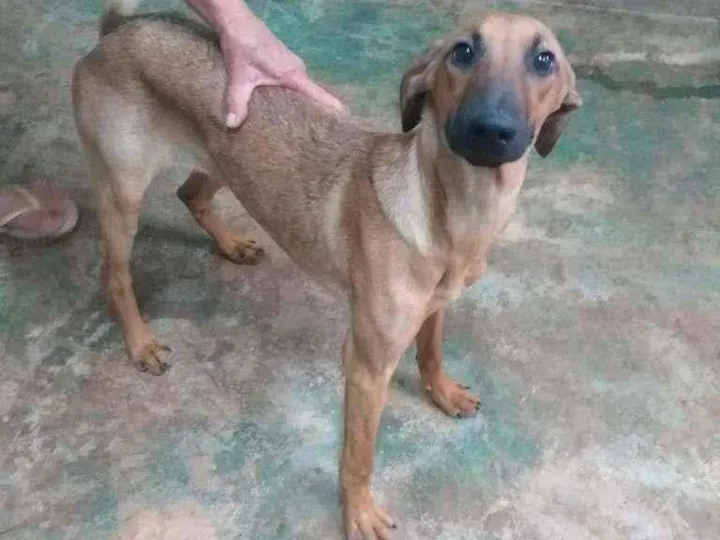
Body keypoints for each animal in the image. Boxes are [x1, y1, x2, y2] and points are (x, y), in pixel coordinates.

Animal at [72, 1, 581, 538]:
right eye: (463, 52)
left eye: (544, 60)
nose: (490, 127)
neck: (451, 213)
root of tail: (121, 28)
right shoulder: (366, 366)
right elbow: (358, 455)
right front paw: (358, 514)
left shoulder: (435, 306)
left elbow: (431, 350)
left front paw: (441, 391)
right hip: (123, 191)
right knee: (114, 273)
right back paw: (140, 343)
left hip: (223, 158)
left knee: (189, 194)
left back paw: (230, 245)